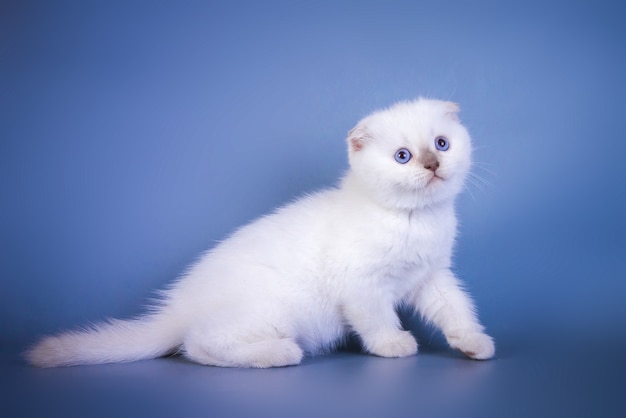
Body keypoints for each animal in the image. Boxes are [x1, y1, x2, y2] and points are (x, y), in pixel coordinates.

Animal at [26, 99, 492, 370]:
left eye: (442, 144)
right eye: (403, 156)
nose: (432, 164)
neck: (416, 220)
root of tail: (177, 310)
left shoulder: (432, 276)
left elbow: (456, 309)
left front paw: (473, 343)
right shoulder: (362, 285)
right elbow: (376, 319)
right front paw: (394, 345)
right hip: (276, 310)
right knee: (198, 346)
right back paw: (278, 353)